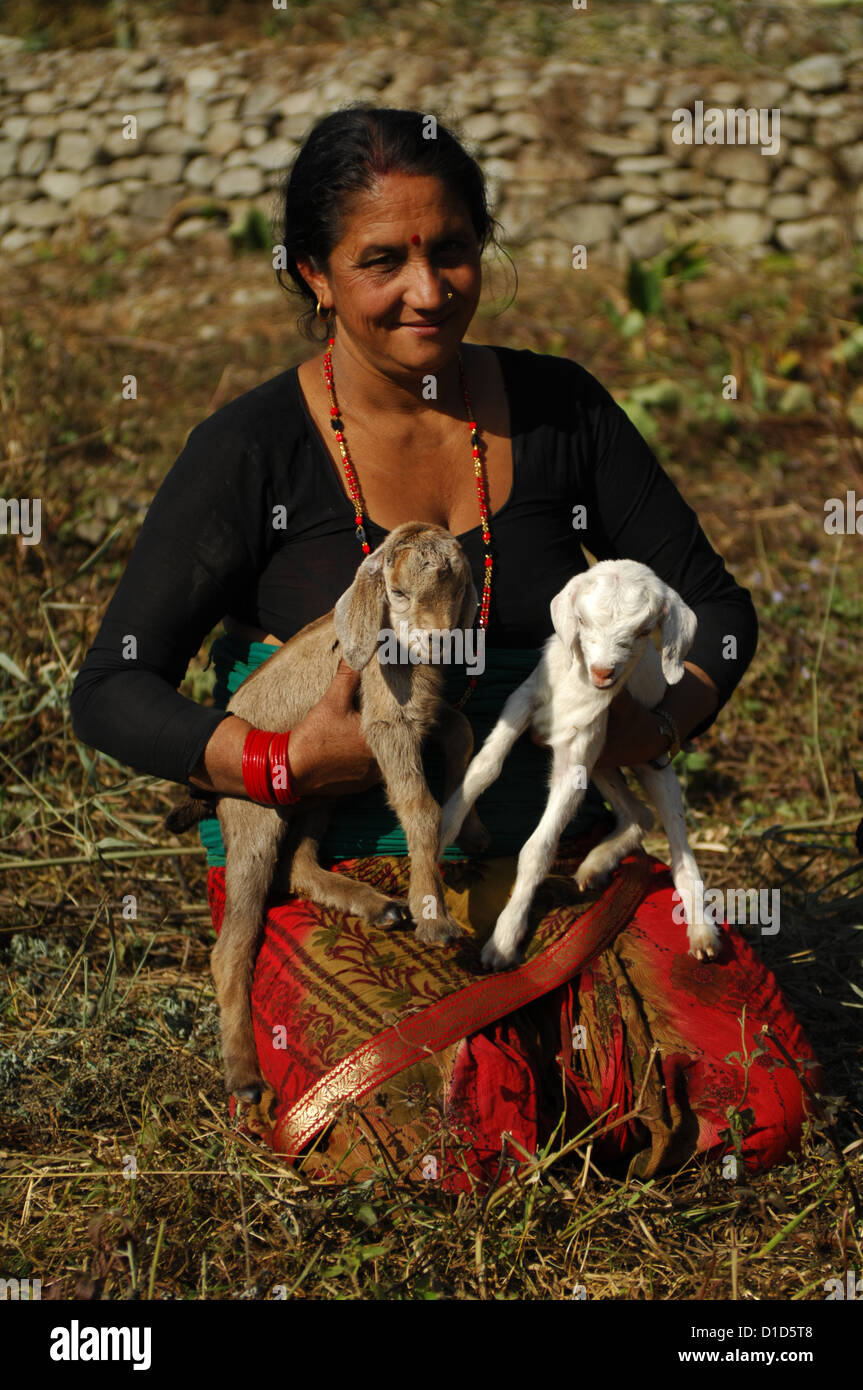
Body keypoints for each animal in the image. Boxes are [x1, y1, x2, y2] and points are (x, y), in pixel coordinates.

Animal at [436, 558, 722, 973]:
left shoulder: (581, 747)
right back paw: (595, 865)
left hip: (651, 761)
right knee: (639, 813)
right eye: (582, 621)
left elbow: (538, 849)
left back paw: (702, 932)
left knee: (677, 843)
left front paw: (504, 939)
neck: (579, 684)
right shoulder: (525, 700)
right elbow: (484, 767)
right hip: (605, 763)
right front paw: (436, 837)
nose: (603, 672)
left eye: (642, 631)